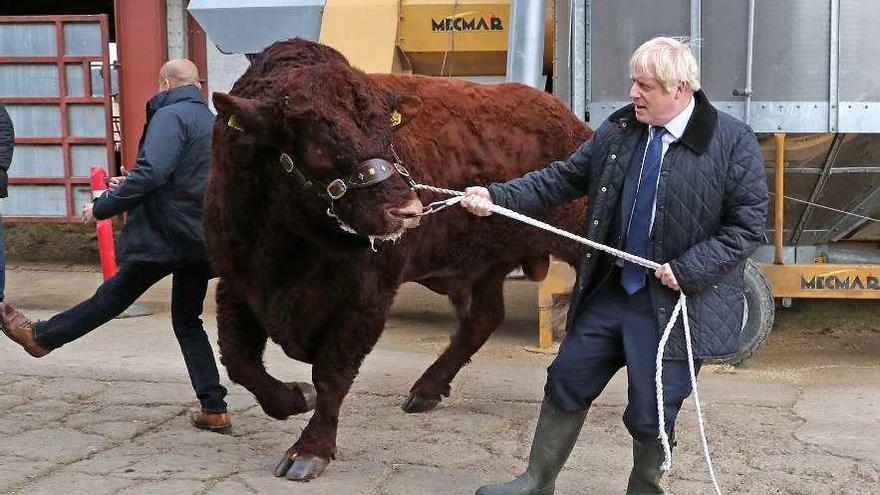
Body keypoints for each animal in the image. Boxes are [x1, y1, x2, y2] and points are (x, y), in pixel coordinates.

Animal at [206, 38, 592, 480]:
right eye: (318, 146)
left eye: (388, 136)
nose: (406, 210)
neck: (288, 243)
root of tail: (568, 120)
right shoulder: (237, 281)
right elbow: (239, 360)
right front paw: (293, 398)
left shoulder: (368, 297)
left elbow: (332, 373)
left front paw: (309, 450)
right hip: (485, 266)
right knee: (483, 318)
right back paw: (425, 390)